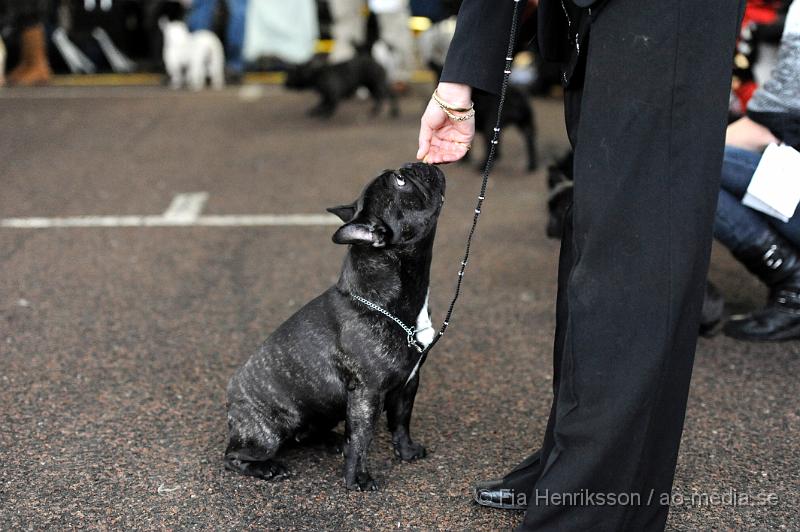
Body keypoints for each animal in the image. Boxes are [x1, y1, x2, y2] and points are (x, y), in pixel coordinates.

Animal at [225, 161, 444, 490]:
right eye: (400, 181)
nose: (415, 163)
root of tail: (231, 402)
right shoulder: (367, 394)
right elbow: (362, 440)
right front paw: (357, 479)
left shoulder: (408, 383)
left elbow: (401, 422)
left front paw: (406, 451)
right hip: (268, 432)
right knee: (234, 456)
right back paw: (268, 468)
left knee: (306, 435)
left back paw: (332, 440)